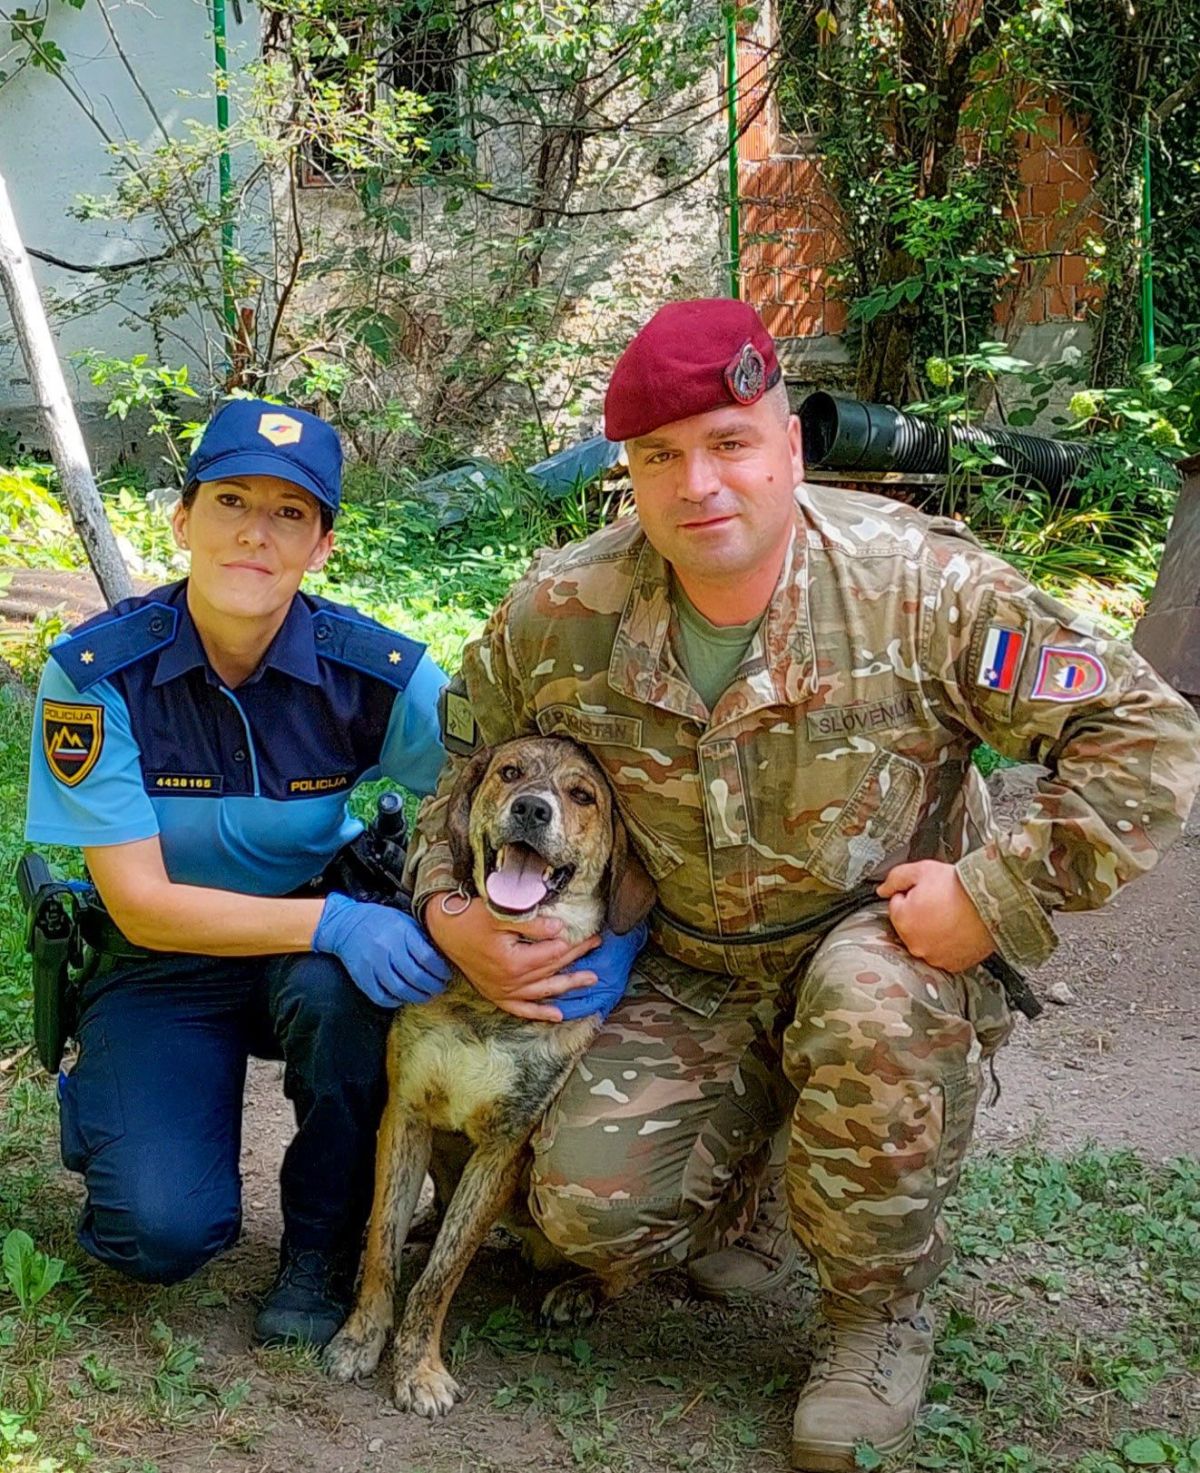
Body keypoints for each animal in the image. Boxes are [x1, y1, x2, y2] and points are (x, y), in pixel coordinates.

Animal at [323, 736, 655, 1417]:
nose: (531, 809)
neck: (487, 999)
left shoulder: (503, 1150)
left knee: (627, 1265)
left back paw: (581, 1289)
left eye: (583, 795)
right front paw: (360, 1337)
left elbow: (443, 1273)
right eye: (510, 771)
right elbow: (380, 1250)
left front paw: (419, 1369)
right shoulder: (405, 1114)